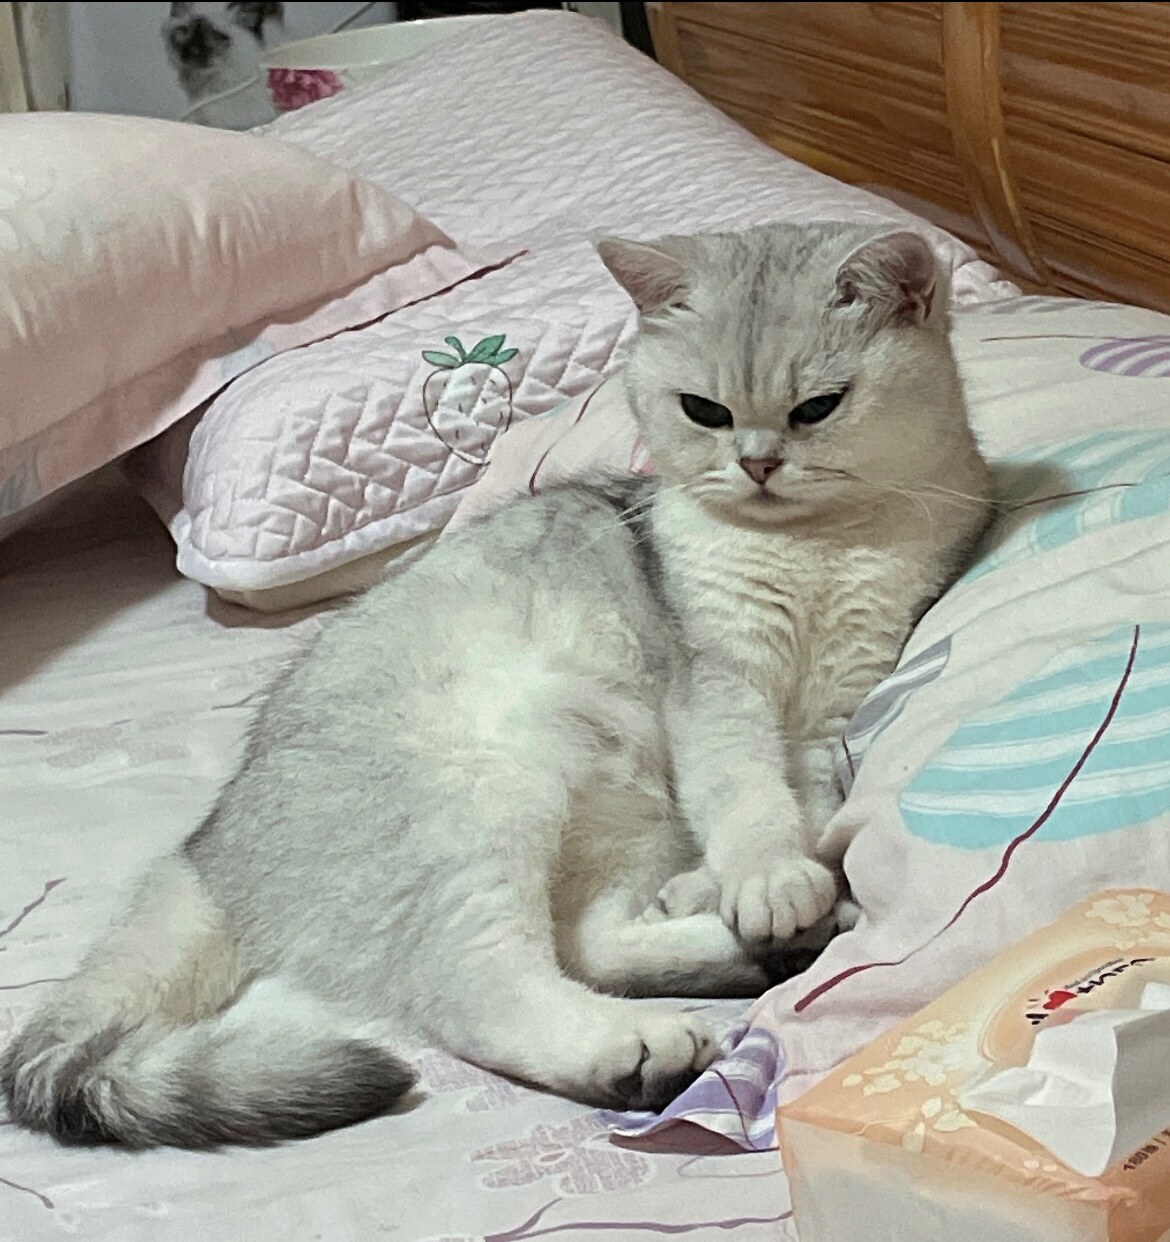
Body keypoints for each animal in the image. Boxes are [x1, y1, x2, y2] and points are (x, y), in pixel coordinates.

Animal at [2, 222, 991, 1149]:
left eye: (819, 408)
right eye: (703, 411)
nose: (756, 464)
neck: (819, 546)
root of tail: (208, 847)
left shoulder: (839, 699)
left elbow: (814, 804)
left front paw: (783, 885)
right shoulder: (718, 683)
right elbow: (750, 794)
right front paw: (771, 879)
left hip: (619, 800)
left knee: (589, 940)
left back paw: (756, 941)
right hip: (485, 794)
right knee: (487, 990)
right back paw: (638, 1042)